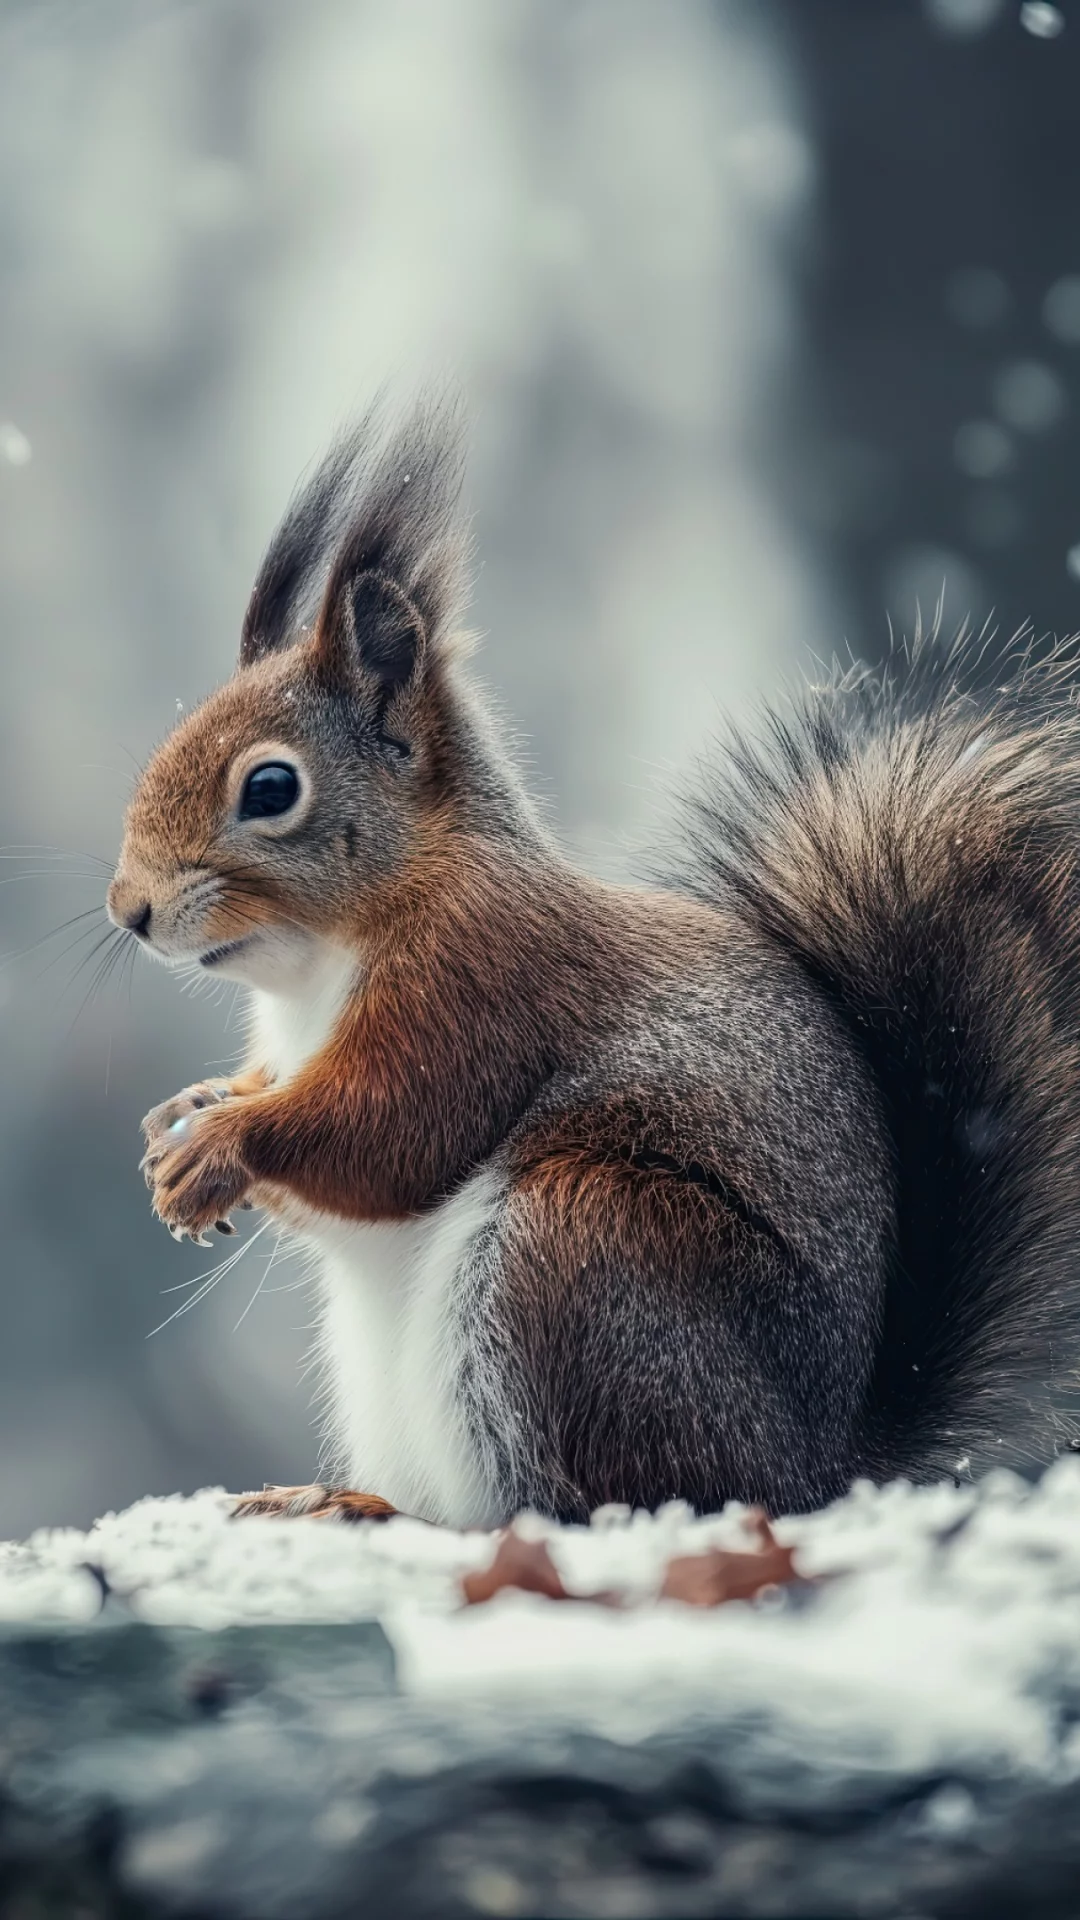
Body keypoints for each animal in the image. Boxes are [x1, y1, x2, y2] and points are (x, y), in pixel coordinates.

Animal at [107, 404, 1080, 1527]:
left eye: (270, 788)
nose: (128, 911)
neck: (315, 965)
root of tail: (818, 1470)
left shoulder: (483, 984)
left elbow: (392, 1128)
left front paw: (223, 1144)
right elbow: (280, 1088)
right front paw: (182, 1117)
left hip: (580, 1248)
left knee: (584, 1499)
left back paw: (384, 1509)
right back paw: (334, 1497)